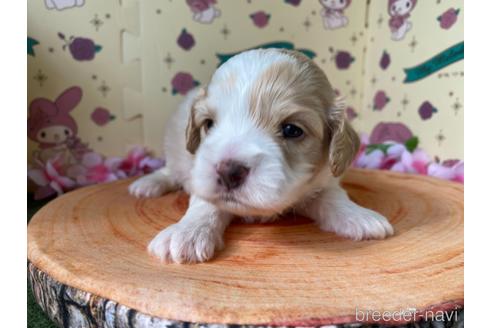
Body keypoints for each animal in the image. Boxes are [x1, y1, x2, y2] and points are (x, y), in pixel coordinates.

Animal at [129, 48, 394, 264]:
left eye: (292, 130)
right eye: (209, 124)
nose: (228, 171)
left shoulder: (323, 181)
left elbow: (333, 197)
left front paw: (359, 216)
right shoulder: (200, 177)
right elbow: (205, 204)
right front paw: (187, 232)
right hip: (174, 149)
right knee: (169, 170)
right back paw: (147, 184)